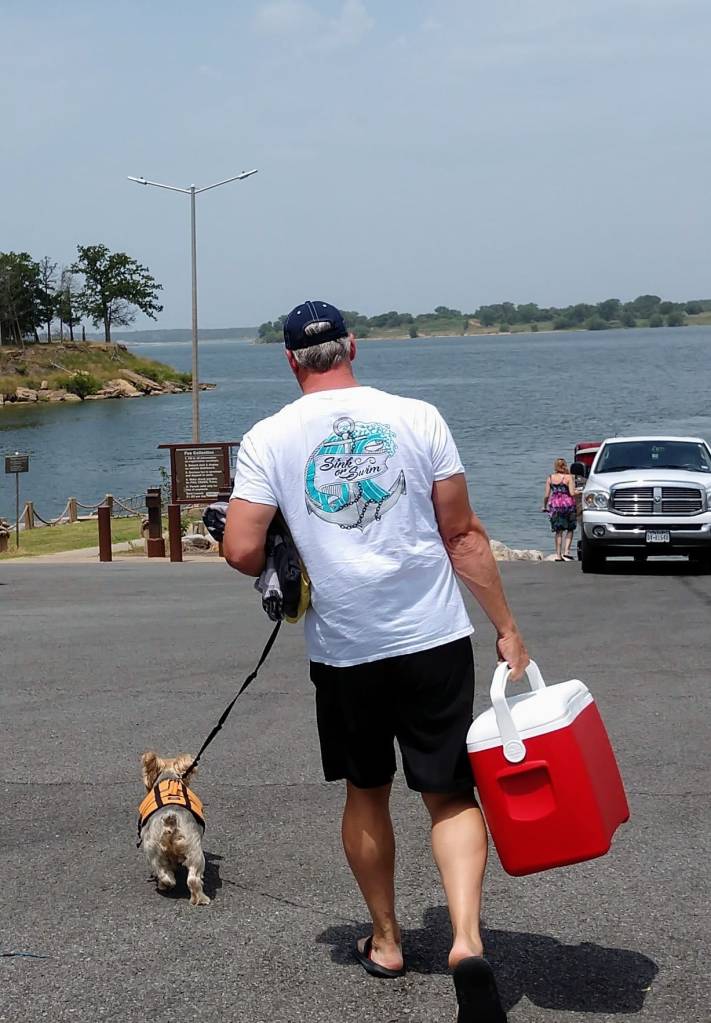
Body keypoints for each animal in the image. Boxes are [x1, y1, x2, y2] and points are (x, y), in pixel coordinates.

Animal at [139, 751, 210, 906]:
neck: (168, 778)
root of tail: (170, 819)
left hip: (153, 849)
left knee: (163, 871)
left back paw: (166, 884)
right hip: (193, 848)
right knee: (192, 878)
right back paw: (201, 899)